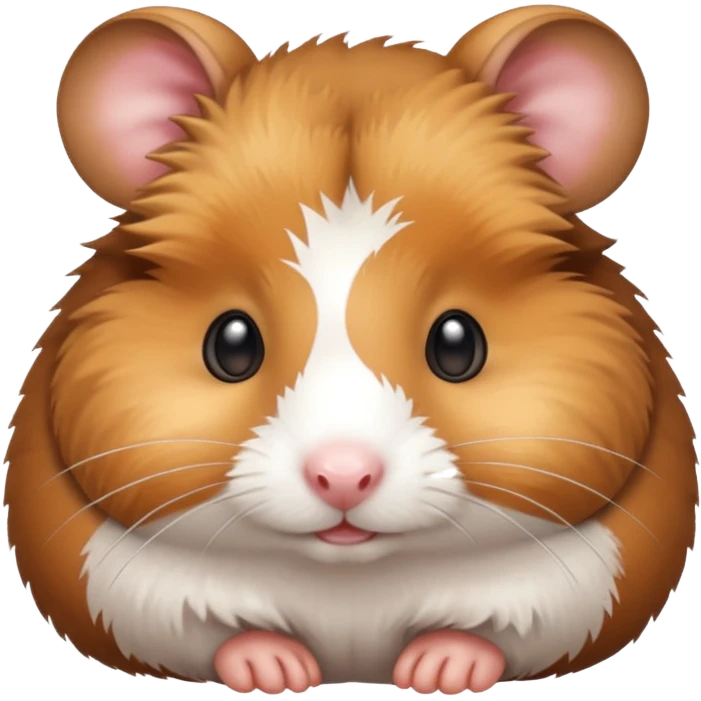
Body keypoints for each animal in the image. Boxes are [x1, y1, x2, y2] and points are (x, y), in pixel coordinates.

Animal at [3, 5, 698, 695]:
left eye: (458, 343)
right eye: (231, 343)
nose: (342, 477)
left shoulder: (587, 581)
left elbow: (491, 632)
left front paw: (438, 672)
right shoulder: (119, 587)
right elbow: (216, 632)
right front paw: (276, 672)